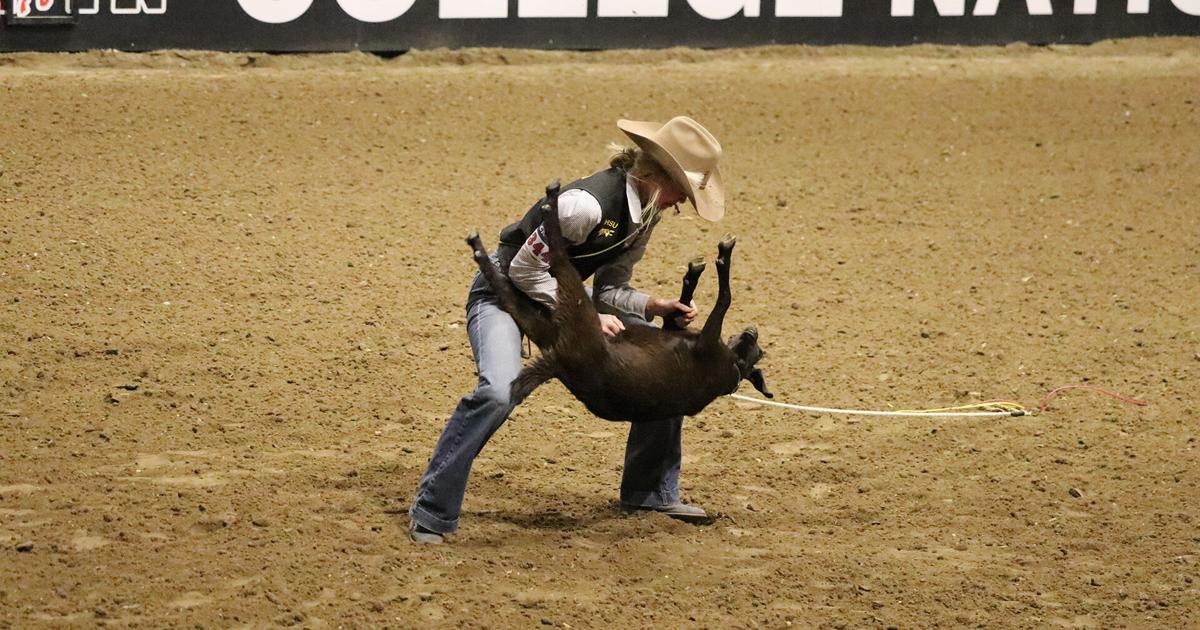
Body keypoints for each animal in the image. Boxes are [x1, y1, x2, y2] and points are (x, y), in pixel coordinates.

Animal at [466, 181, 771, 423]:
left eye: (757, 350)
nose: (752, 331)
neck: (732, 362)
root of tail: (558, 362)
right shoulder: (681, 331)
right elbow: (682, 309)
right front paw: (693, 274)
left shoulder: (707, 341)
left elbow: (726, 298)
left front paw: (724, 254)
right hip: (544, 324)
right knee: (509, 290)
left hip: (575, 316)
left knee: (555, 259)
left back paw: (543, 208)